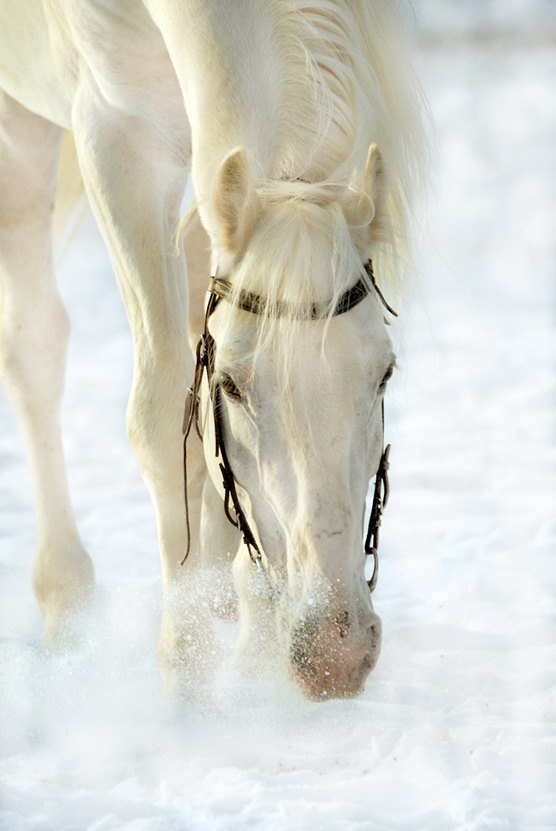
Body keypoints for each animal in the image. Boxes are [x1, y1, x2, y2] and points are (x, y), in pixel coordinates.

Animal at [0, 1, 426, 704]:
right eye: (231, 385)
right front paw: (186, 664)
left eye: (385, 375)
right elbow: (158, 413)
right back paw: (66, 600)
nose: (335, 654)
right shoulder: (117, 137)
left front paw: (245, 631)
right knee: (33, 344)